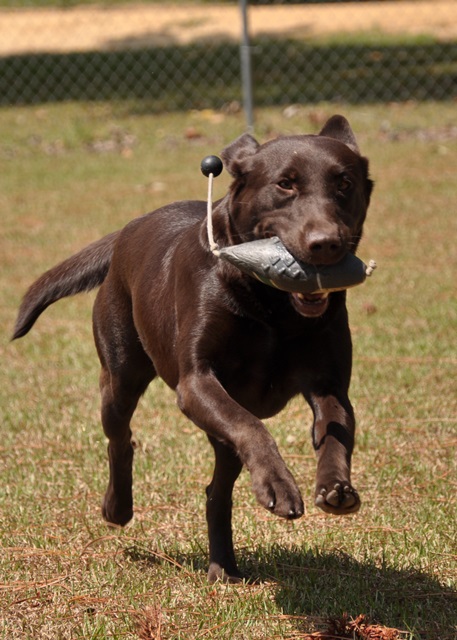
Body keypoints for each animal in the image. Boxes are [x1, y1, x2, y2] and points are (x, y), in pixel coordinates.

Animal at [12, 115, 372, 584]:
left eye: (344, 183)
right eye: (285, 184)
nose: (326, 243)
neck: (273, 305)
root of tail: (128, 228)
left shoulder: (330, 387)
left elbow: (335, 433)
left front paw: (335, 487)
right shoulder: (197, 382)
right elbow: (251, 427)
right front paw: (280, 485)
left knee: (216, 491)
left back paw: (223, 565)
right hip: (120, 377)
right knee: (121, 439)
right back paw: (118, 508)